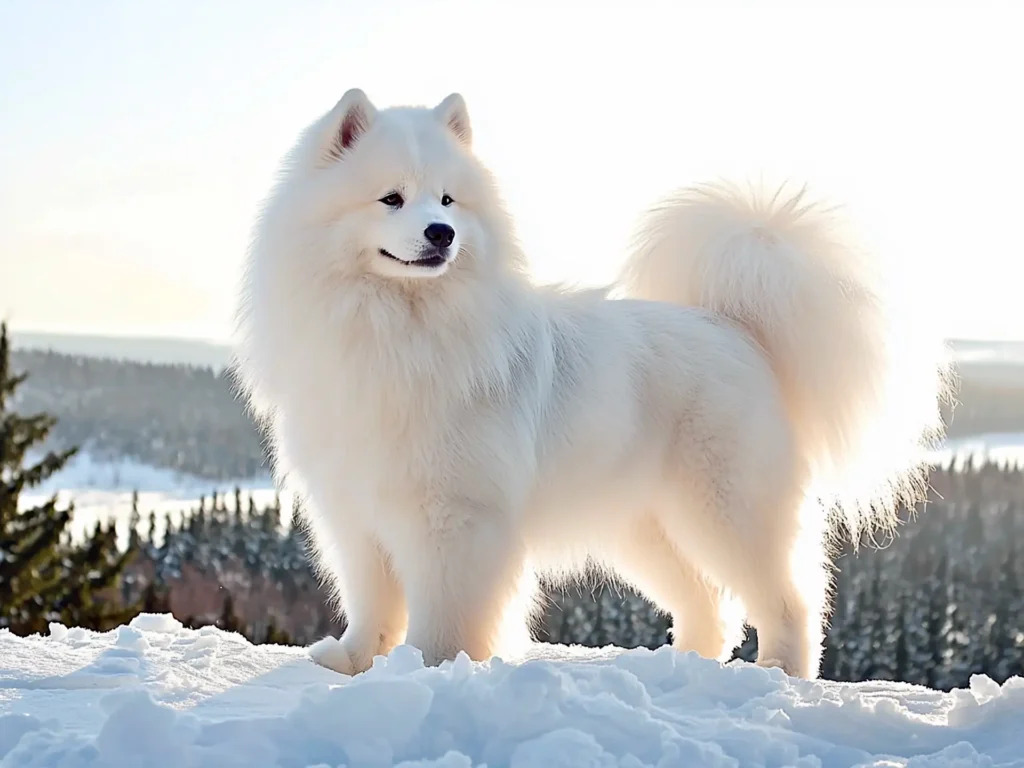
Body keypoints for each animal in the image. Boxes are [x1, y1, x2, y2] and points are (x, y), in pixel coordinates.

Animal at [235, 88, 946, 679]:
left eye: (447, 200)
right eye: (391, 198)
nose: (442, 233)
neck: (397, 326)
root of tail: (735, 329)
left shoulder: (455, 518)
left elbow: (445, 613)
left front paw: (433, 668)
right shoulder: (355, 512)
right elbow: (373, 601)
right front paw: (354, 661)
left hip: (727, 510)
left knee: (789, 601)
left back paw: (779, 674)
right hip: (644, 527)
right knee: (709, 604)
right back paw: (685, 666)